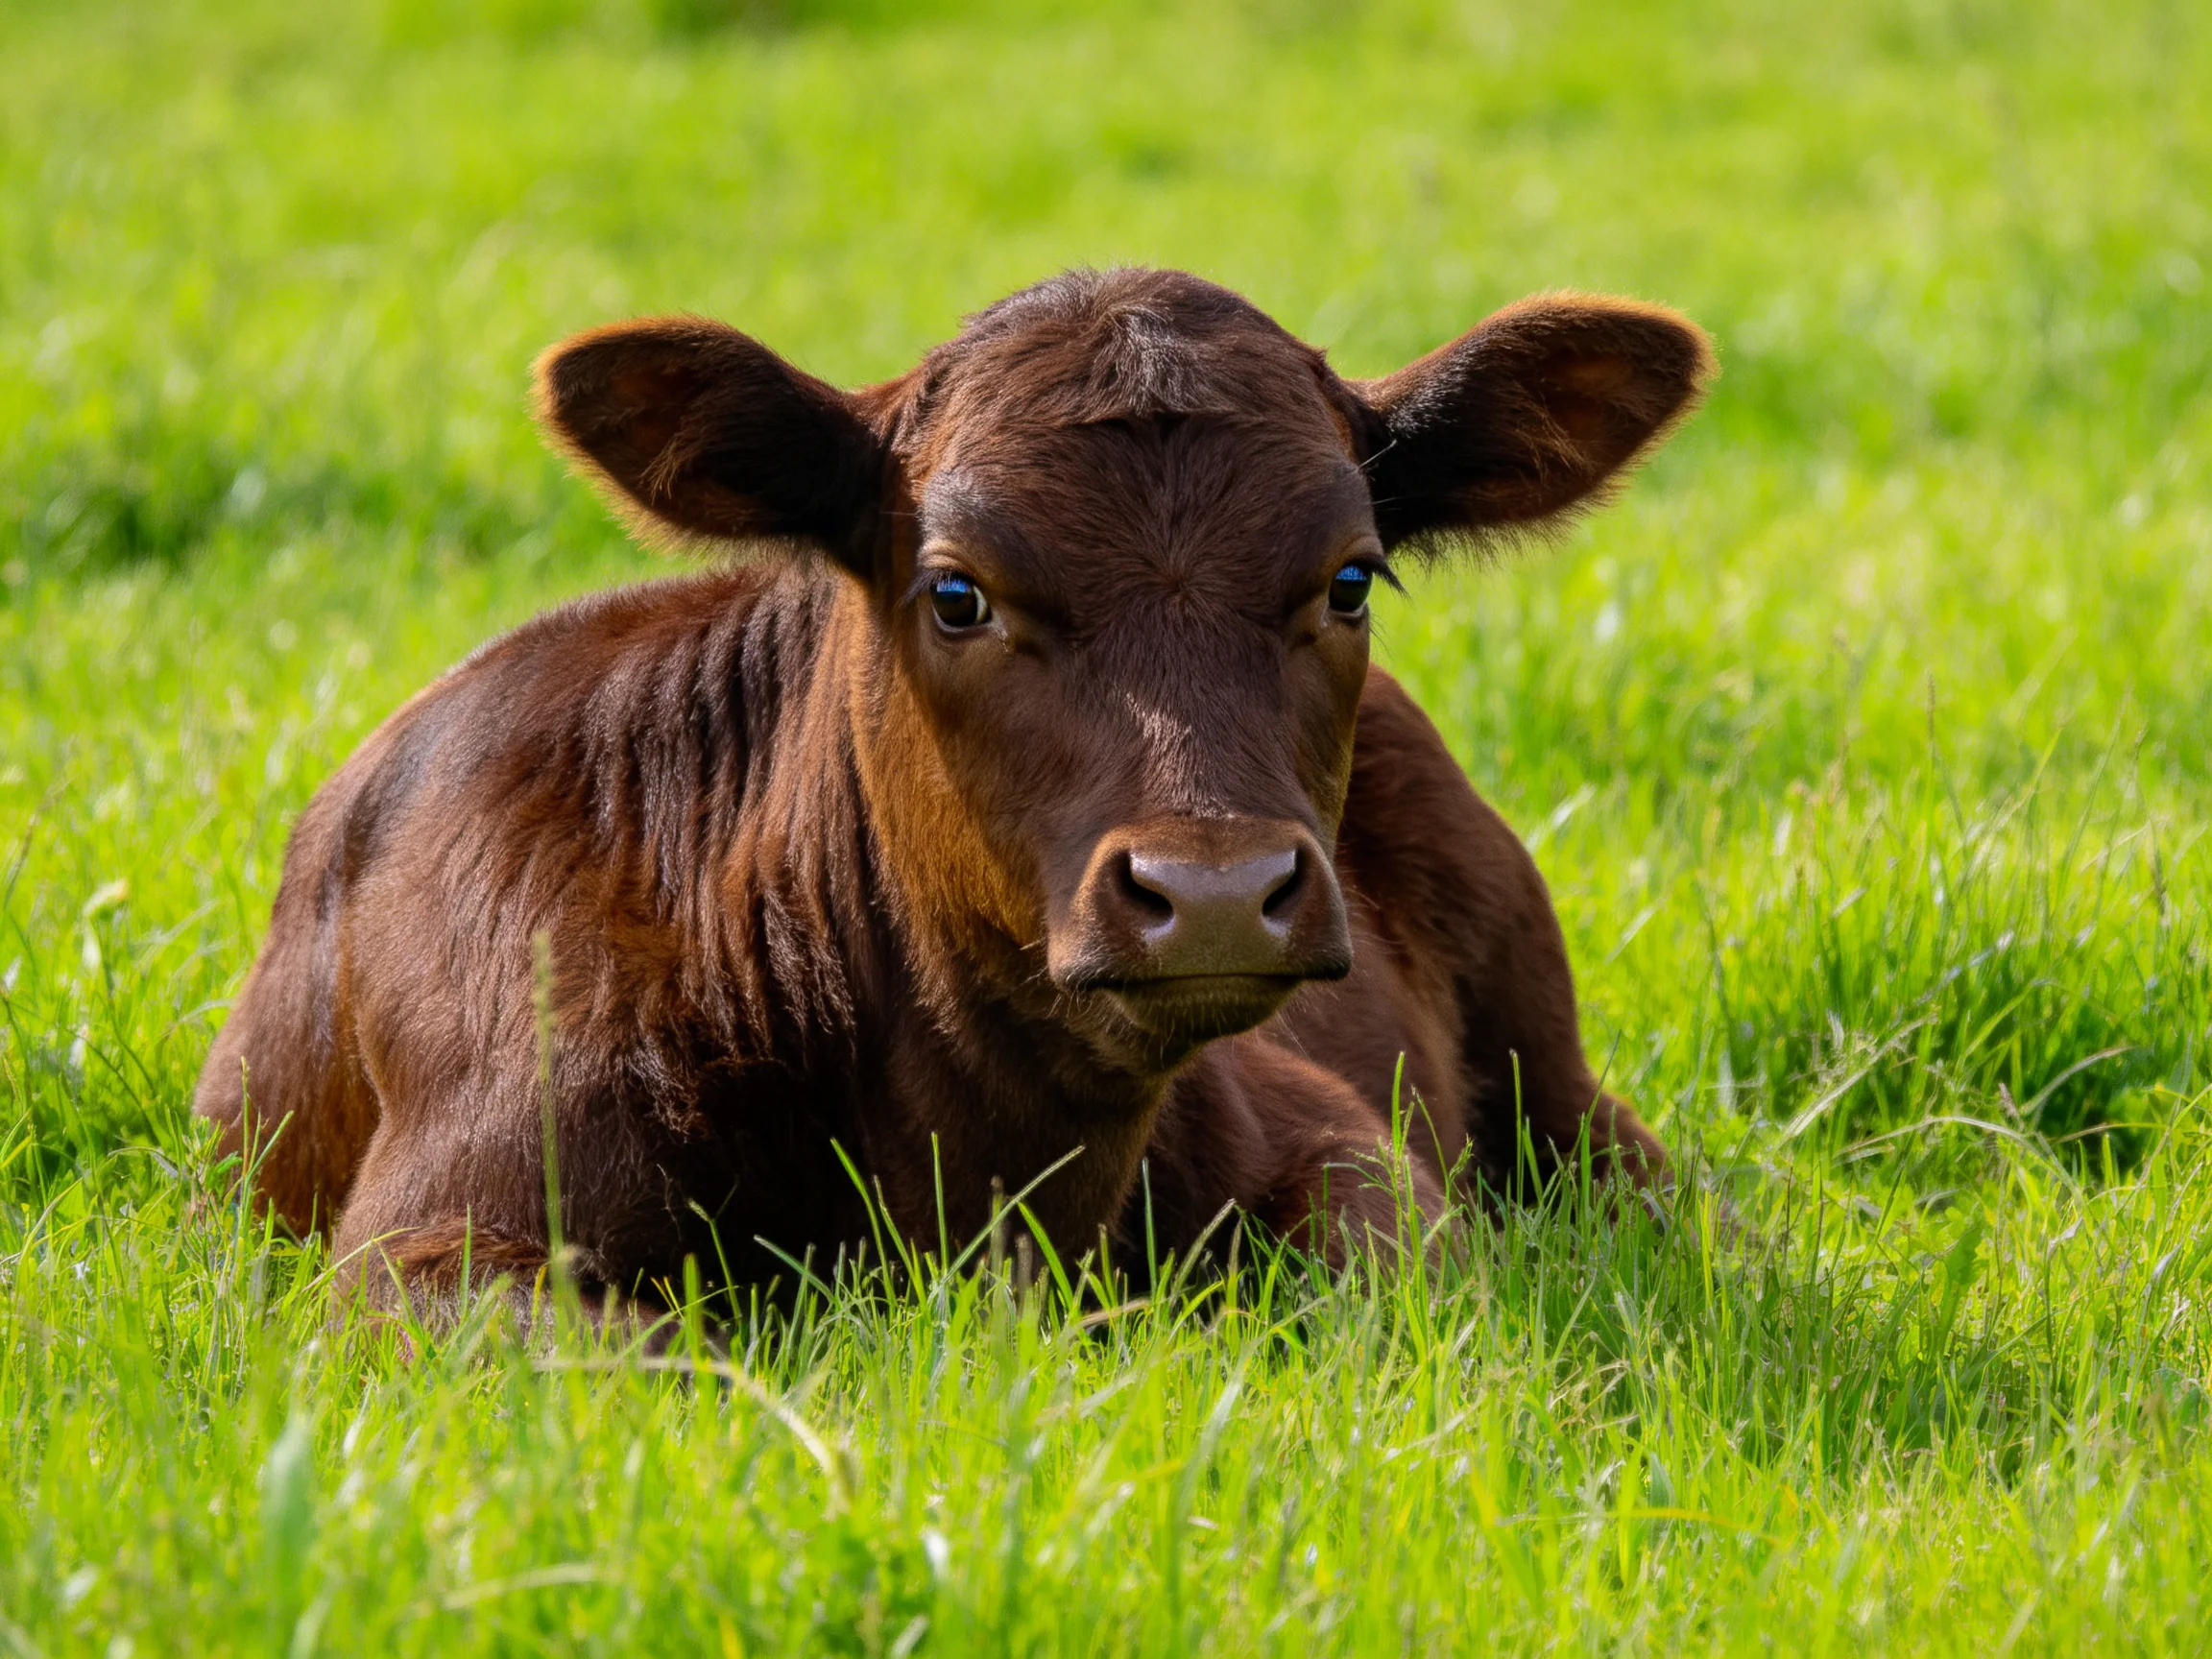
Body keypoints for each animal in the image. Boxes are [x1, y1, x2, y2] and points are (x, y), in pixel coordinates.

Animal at [195, 267, 1711, 1319]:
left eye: (1349, 579)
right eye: (957, 592)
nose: (1217, 891)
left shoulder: (1343, 1146)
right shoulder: (437, 1234)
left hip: (1546, 1051)